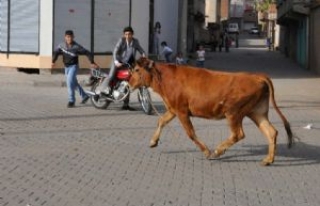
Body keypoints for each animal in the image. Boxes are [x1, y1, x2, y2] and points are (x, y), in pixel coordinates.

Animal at [129, 56, 292, 166]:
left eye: (136, 69)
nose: (129, 83)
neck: (166, 79)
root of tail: (257, 76)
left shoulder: (181, 111)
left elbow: (190, 133)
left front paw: (206, 151)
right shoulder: (173, 109)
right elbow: (161, 121)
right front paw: (153, 141)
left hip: (233, 112)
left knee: (238, 134)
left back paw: (218, 151)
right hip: (256, 112)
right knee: (271, 132)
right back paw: (268, 159)